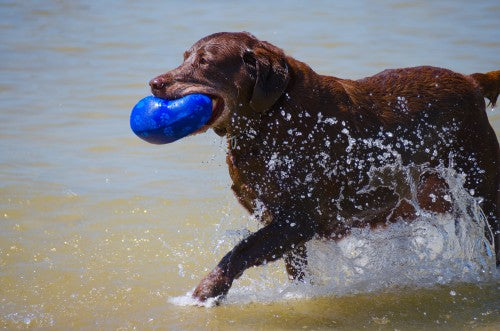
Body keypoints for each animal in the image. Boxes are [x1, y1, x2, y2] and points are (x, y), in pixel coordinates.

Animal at [149, 32, 500, 302]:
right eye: (186, 57)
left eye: (204, 62)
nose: (154, 82)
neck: (272, 119)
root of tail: (471, 81)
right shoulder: (281, 221)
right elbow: (294, 267)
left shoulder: (299, 218)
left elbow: (241, 250)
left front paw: (208, 290)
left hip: (482, 185)